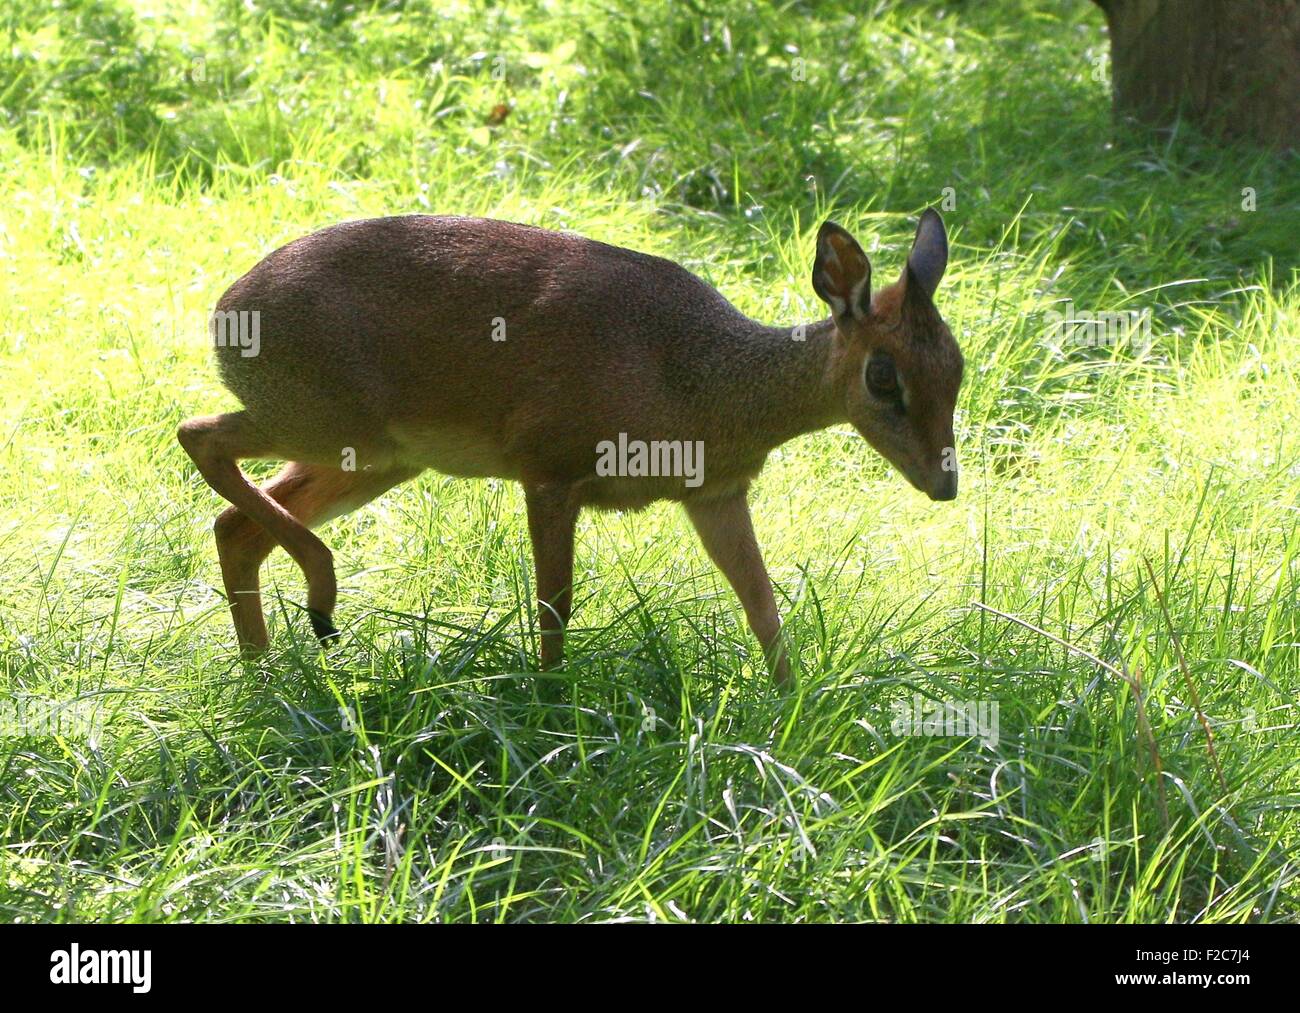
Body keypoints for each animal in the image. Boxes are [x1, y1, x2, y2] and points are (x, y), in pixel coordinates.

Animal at [178, 206, 961, 686]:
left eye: (957, 366)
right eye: (884, 375)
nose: (945, 484)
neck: (703, 380)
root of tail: (226, 311)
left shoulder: (714, 494)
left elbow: (764, 606)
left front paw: (791, 710)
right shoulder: (550, 472)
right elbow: (556, 606)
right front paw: (549, 703)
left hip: (376, 457)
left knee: (236, 524)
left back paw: (267, 674)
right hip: (331, 424)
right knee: (199, 438)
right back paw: (320, 598)